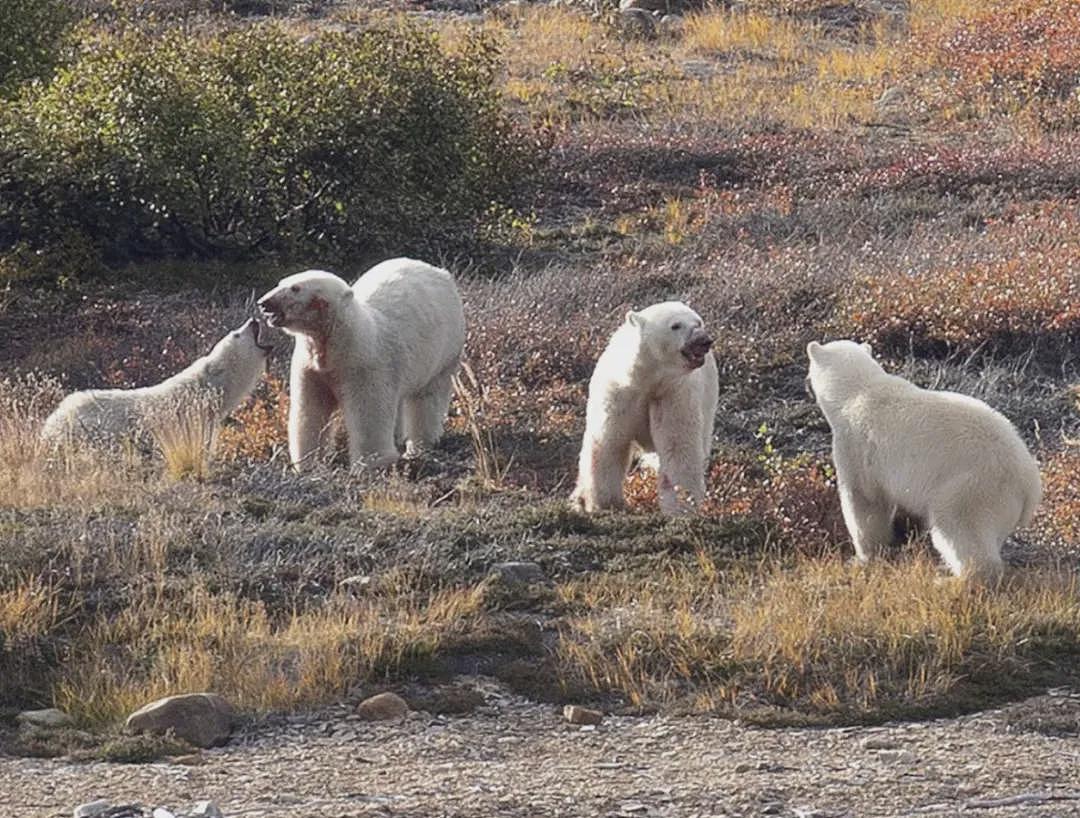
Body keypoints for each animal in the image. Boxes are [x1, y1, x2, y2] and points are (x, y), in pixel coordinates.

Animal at [257, 258, 465, 471]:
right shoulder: (311, 367)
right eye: (281, 282)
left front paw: (372, 463)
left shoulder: (364, 365)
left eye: (295, 288)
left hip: (444, 350)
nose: (263, 303)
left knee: (428, 398)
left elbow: (368, 412)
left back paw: (419, 446)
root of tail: (440, 272)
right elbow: (310, 409)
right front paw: (308, 463)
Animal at [571, 301, 718, 515]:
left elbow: (678, 448)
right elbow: (609, 443)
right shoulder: (620, 394)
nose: (704, 340)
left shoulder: (673, 395)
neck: (647, 380)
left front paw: (681, 509)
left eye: (698, 322)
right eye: (676, 325)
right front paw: (604, 504)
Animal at [806, 339, 1042, 583]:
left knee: (958, 527)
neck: (859, 391)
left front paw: (862, 557)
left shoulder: (856, 446)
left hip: (972, 489)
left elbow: (864, 502)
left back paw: (951, 579)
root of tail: (1030, 484)